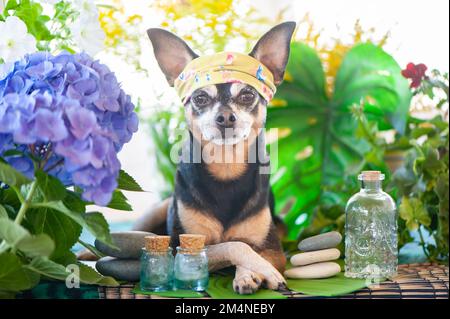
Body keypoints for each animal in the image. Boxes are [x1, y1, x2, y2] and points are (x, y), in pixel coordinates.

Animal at [132, 22, 298, 296]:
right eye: (200, 98)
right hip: (156, 212)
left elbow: (247, 246)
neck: (226, 167)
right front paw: (262, 271)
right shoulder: (181, 248)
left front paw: (251, 274)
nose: (226, 117)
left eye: (247, 95)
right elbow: (236, 246)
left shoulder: (273, 249)